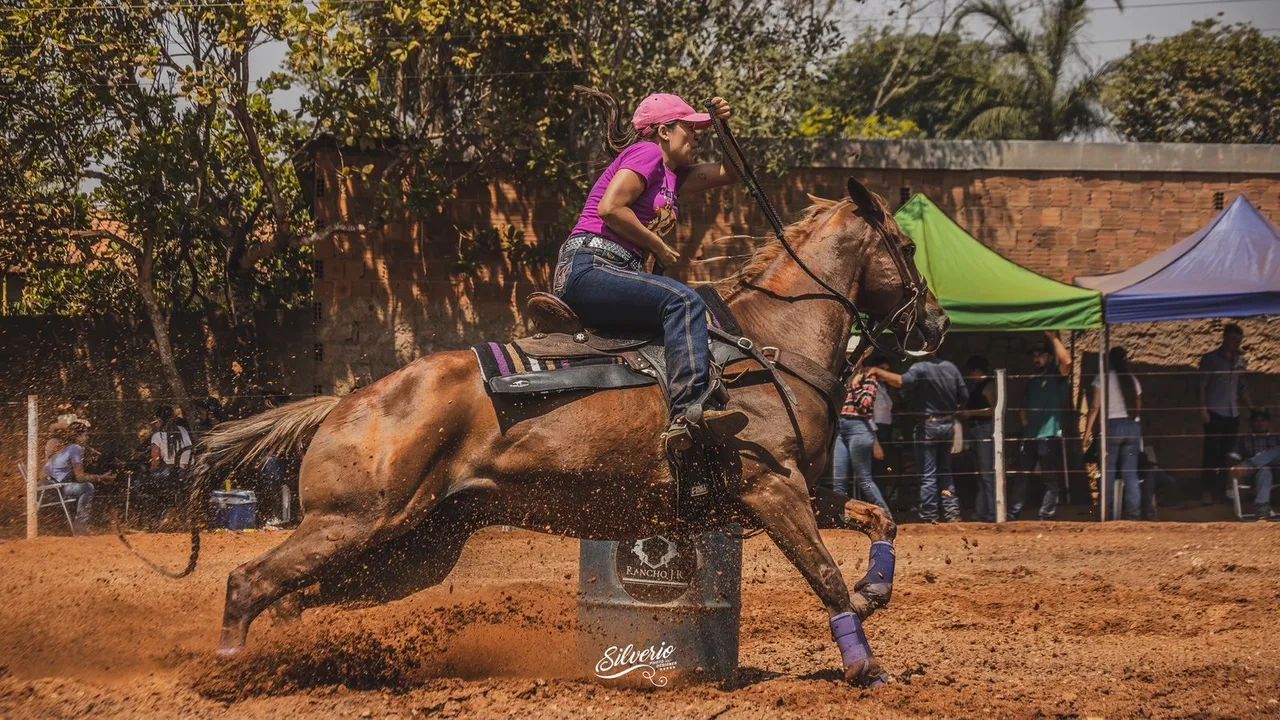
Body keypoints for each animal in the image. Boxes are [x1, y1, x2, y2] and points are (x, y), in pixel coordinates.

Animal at [155, 177, 949, 685]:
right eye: (907, 247)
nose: (937, 323)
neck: (770, 343)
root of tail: (346, 404)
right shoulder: (770, 488)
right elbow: (823, 576)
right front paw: (866, 667)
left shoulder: (799, 489)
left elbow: (879, 518)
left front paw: (876, 591)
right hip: (356, 520)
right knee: (250, 580)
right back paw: (229, 674)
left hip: (412, 547)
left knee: (296, 597)